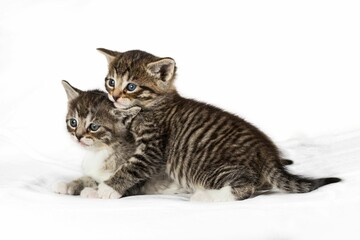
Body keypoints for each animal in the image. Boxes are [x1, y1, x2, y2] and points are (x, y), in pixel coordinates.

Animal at [52, 80, 186, 199]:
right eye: (73, 122)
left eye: (94, 127)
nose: (78, 136)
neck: (102, 151)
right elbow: (91, 178)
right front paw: (68, 184)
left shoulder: (141, 181)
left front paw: (93, 192)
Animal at [95, 47, 340, 202]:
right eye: (111, 82)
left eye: (131, 87)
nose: (114, 97)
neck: (152, 105)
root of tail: (268, 153)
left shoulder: (153, 147)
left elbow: (132, 167)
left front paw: (106, 189)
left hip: (210, 168)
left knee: (246, 187)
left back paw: (207, 196)